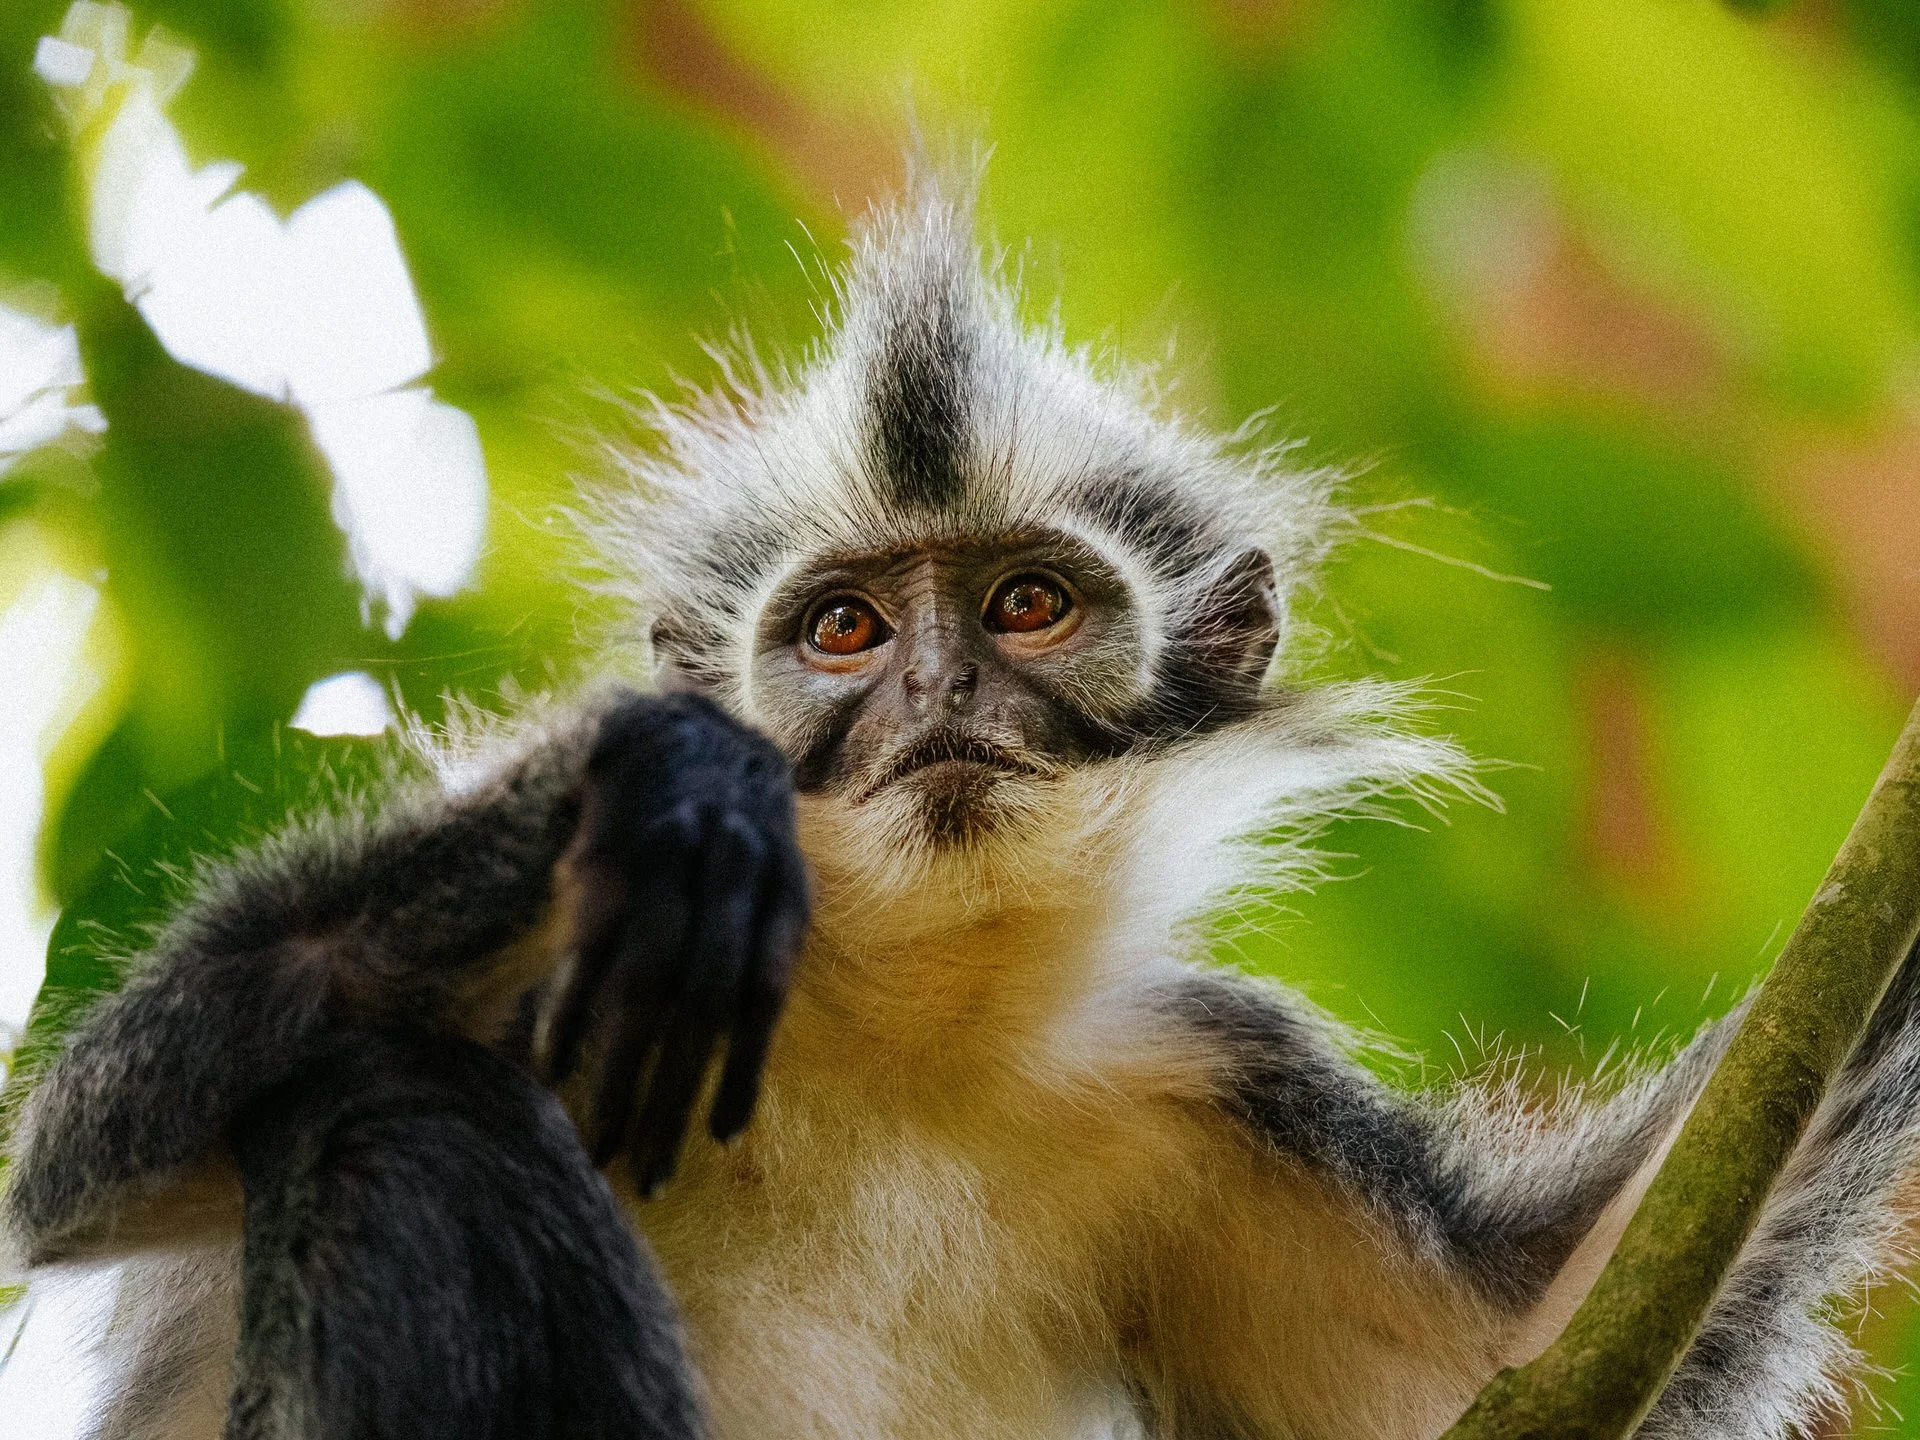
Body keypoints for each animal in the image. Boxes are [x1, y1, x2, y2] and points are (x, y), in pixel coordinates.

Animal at [6, 172, 1920, 1440]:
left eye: (1028, 607)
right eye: (847, 631)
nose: (939, 700)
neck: (893, 1032)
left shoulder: (1200, 1086)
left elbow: (1524, 1353)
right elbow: (86, 1164)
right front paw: (679, 782)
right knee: (384, 1103)